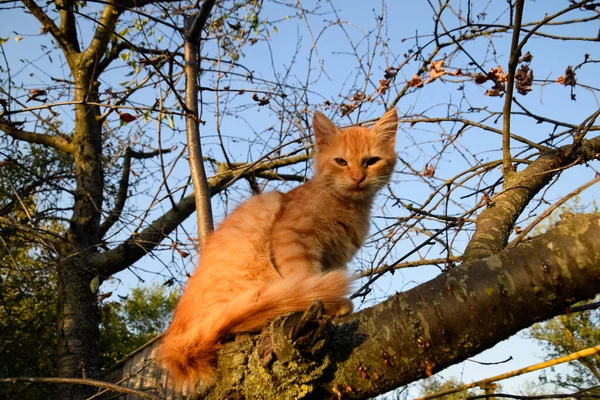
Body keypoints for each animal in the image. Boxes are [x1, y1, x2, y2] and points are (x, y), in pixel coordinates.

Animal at [159, 108, 398, 390]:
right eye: (341, 161)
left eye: (371, 161)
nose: (358, 178)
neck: (348, 207)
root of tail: (176, 340)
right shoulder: (293, 240)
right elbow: (309, 281)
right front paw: (328, 304)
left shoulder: (334, 259)